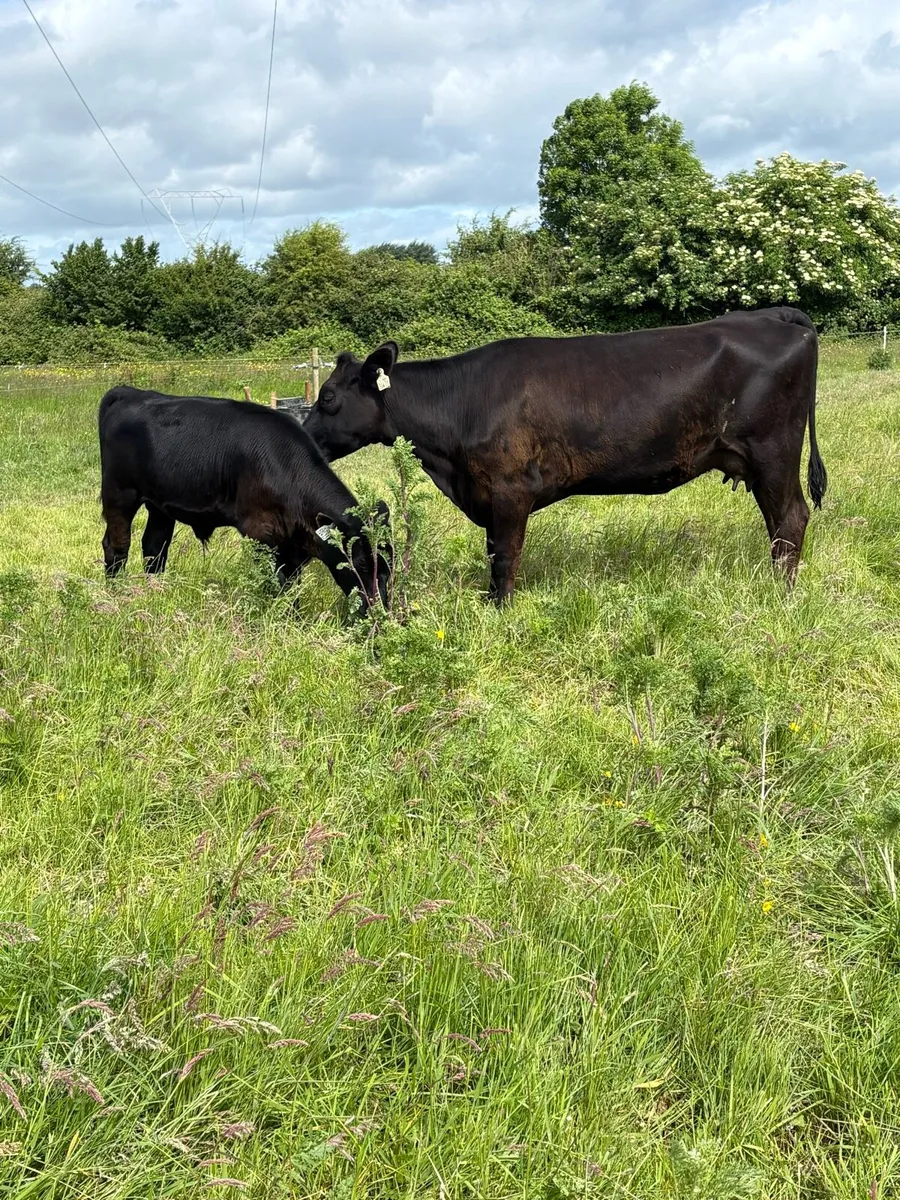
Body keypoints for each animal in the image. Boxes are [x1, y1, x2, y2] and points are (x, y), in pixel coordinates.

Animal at [98, 385, 392, 610]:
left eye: (389, 562)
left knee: (154, 549)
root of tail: (128, 392)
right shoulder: (261, 533)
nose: (380, 609)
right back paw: (116, 594)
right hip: (119, 493)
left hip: (160, 506)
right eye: (362, 562)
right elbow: (280, 585)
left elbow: (291, 584)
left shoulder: (291, 546)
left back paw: (157, 593)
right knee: (117, 546)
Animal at [302, 307, 827, 604]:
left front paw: (499, 610)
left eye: (327, 398)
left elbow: (504, 556)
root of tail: (774, 318)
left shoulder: (510, 489)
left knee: (790, 519)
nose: (304, 436)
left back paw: (781, 595)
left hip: (773, 452)